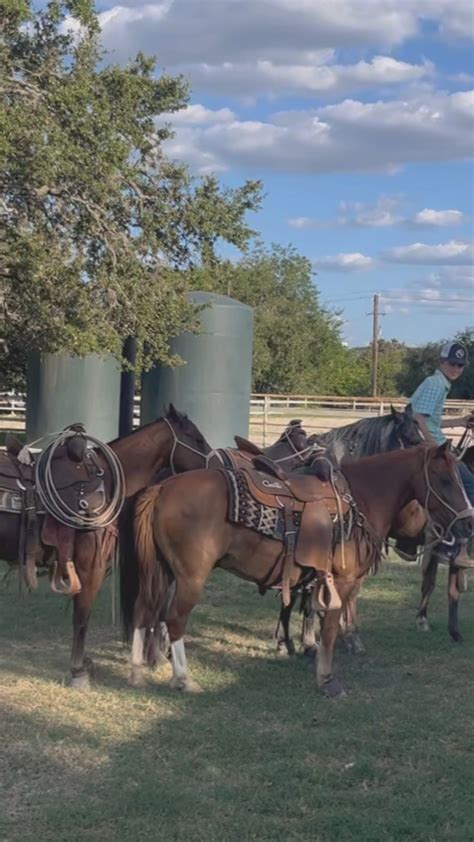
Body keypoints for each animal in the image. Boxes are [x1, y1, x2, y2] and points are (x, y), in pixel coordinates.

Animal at [125, 442, 470, 692]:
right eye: (445, 479)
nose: (467, 523)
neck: (360, 498)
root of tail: (163, 488)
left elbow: (313, 617)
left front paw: (306, 651)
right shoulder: (342, 581)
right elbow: (329, 628)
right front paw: (327, 679)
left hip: (163, 572)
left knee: (143, 610)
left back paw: (138, 670)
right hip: (190, 577)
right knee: (174, 619)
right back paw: (183, 678)